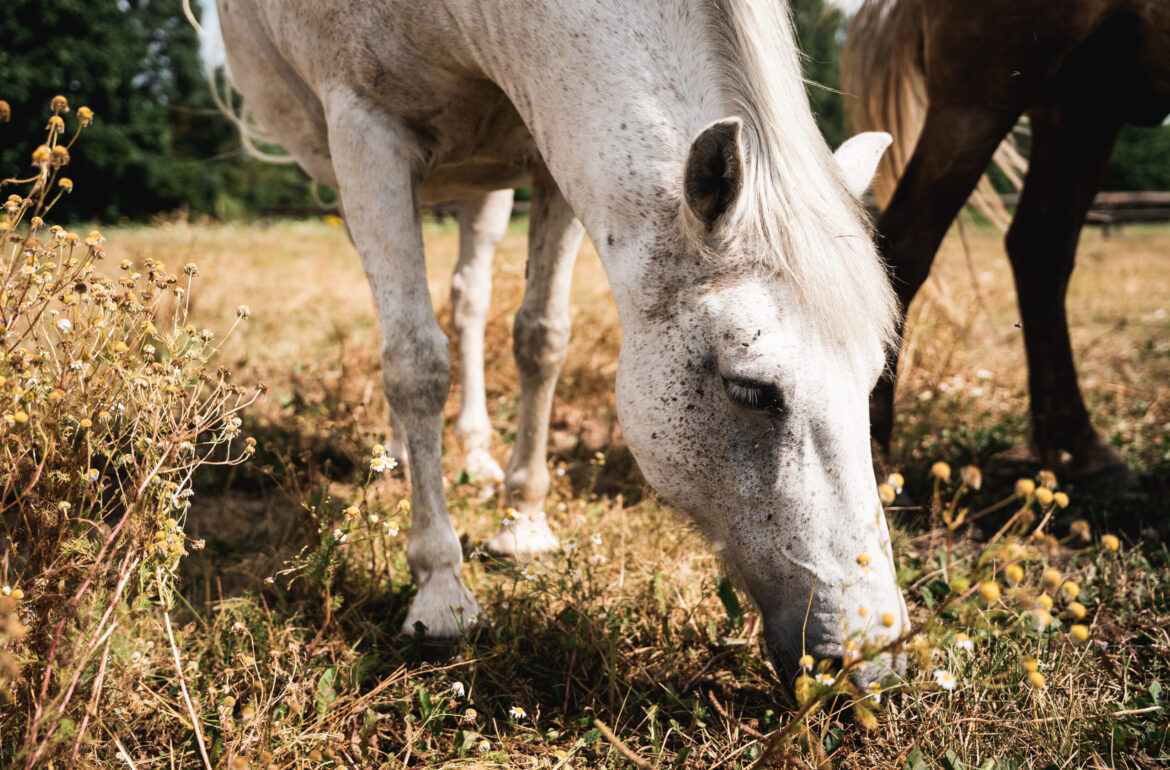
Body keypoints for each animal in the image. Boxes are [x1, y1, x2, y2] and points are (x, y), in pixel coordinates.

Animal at [221, 0, 912, 683]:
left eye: (872, 379)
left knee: (469, 298)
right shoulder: (364, 129)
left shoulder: (551, 160)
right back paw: (399, 455)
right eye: (750, 390)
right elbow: (415, 362)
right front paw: (441, 590)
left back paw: (474, 452)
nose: (873, 661)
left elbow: (541, 339)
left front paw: (522, 525)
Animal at [847, 0, 1170, 479]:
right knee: (907, 241)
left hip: (1084, 98)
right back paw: (875, 454)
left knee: (1040, 247)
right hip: (990, 88)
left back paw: (1082, 446)